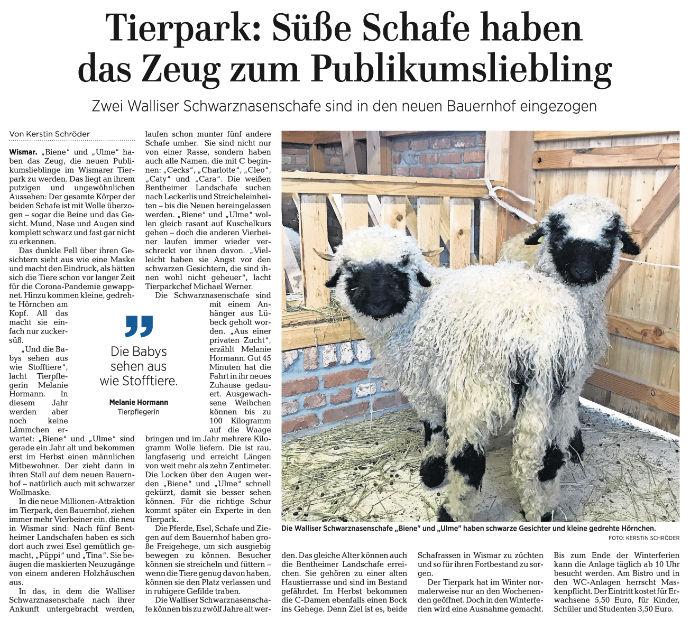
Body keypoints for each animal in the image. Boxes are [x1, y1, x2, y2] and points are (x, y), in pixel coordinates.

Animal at [316, 226, 588, 522]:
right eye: (352, 272)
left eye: (398, 269)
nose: (378, 304)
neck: (419, 309)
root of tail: (543, 336)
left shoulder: (421, 383)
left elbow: (433, 427)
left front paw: (432, 468)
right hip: (560, 396)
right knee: (552, 458)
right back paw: (543, 509)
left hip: (476, 394)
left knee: (469, 463)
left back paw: (451, 512)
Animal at [500, 195, 641, 461]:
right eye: (559, 230)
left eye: (609, 233)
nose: (582, 271)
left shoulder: (582, 364)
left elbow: (568, 401)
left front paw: (572, 440)